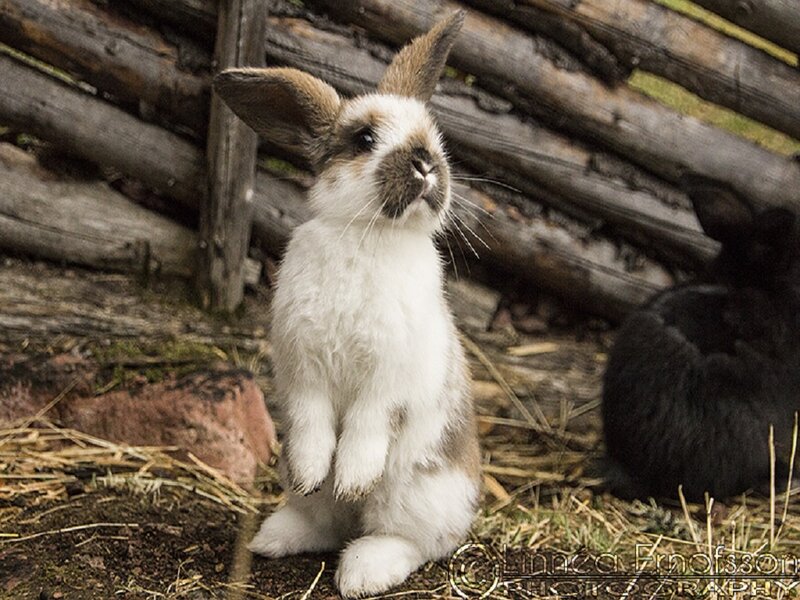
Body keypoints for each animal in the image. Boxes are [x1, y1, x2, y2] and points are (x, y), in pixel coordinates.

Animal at [212, 12, 481, 598]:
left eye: (435, 135)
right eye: (364, 139)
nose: (426, 163)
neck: (370, 235)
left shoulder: (389, 379)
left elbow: (366, 424)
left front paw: (353, 476)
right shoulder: (303, 371)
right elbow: (315, 424)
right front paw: (320, 472)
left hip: (415, 492)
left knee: (411, 540)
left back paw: (361, 572)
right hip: (298, 479)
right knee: (324, 518)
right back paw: (275, 535)